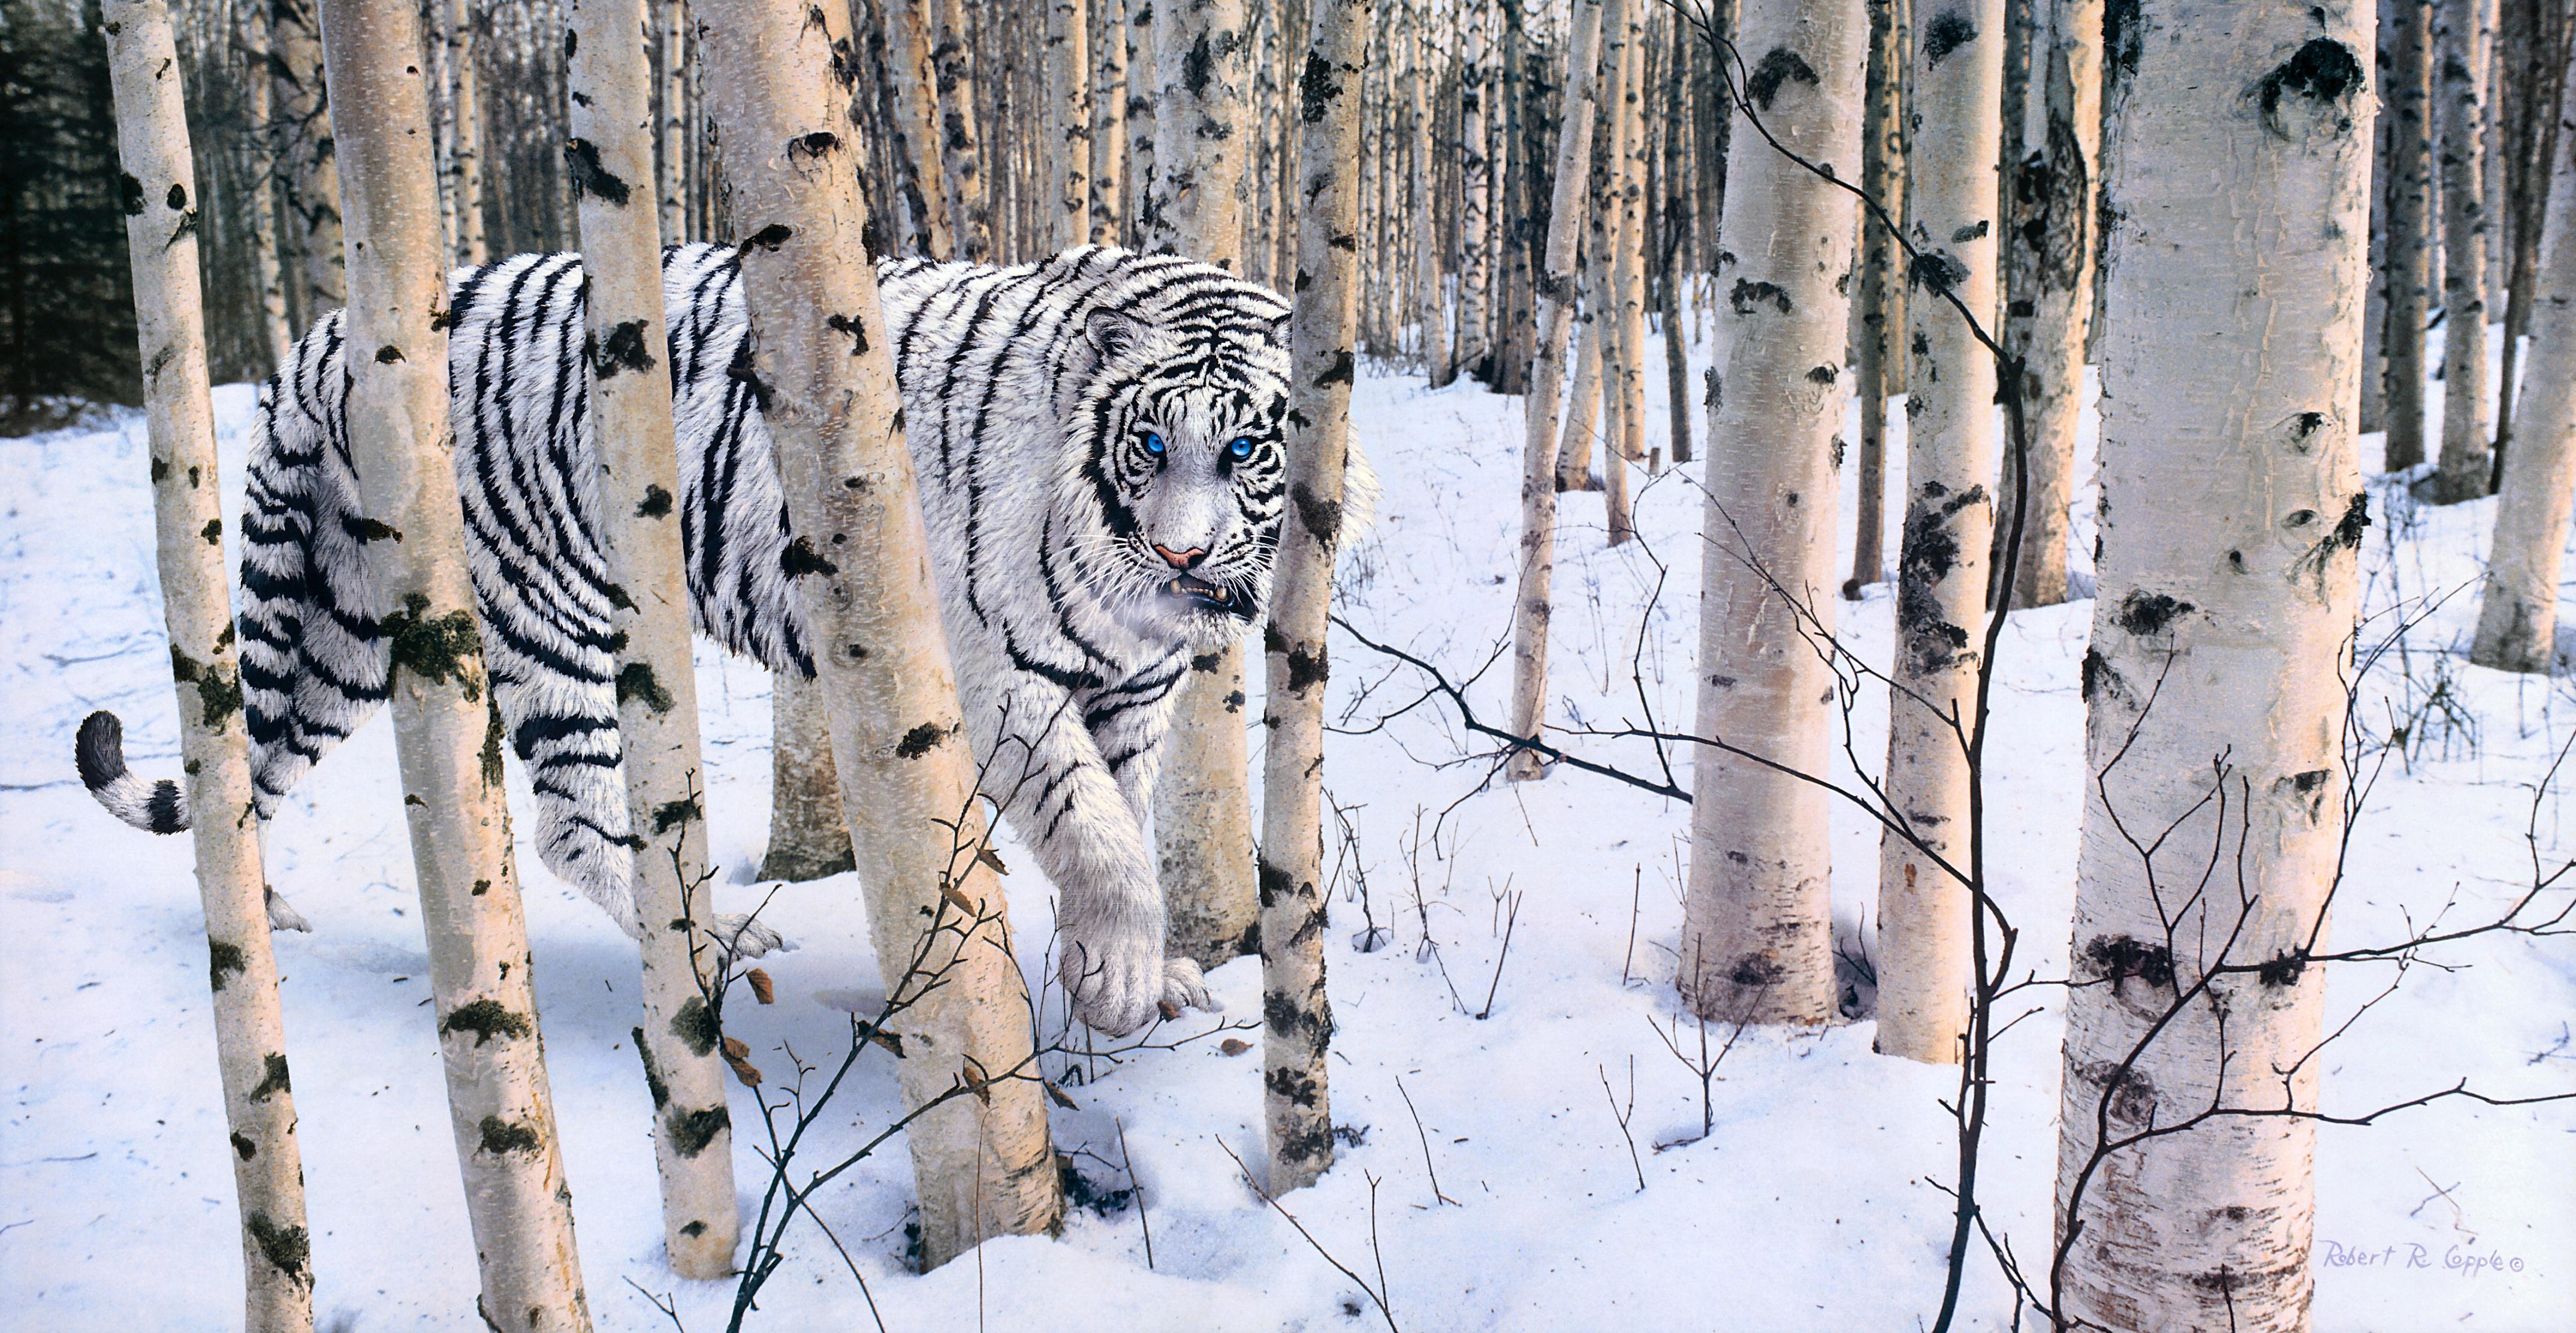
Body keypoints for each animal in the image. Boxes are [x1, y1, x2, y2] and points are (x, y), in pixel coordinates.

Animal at [77, 242, 1370, 1037]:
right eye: (1148, 445)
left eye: (1246, 450)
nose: (1183, 559)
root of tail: (334, 328)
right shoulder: (996, 676)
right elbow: (1098, 829)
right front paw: (1120, 976)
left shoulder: (1132, 696)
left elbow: (1123, 811)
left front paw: (1146, 973)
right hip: (552, 610)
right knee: (572, 823)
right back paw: (725, 934)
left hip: (341, 626)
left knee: (246, 765)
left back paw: (264, 910)